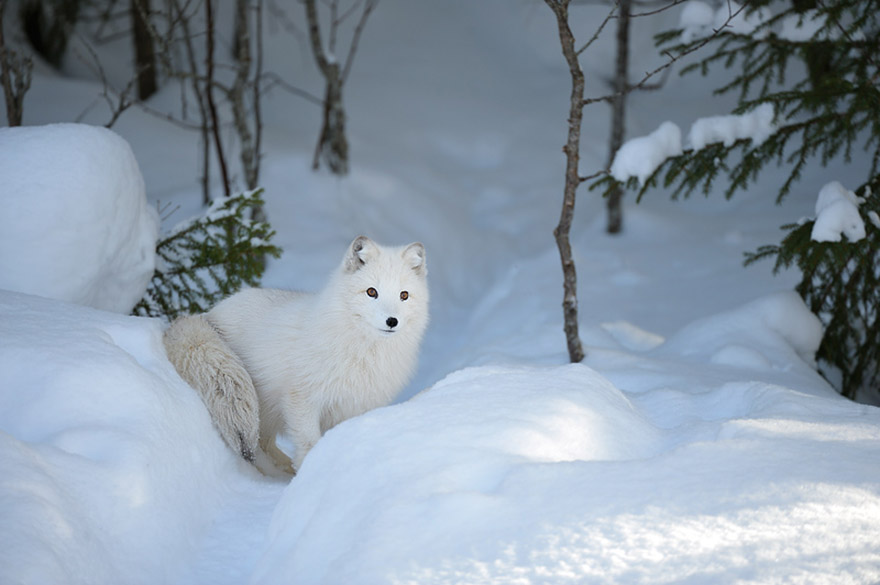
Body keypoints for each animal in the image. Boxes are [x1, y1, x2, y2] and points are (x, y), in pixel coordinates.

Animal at [165, 234, 430, 474]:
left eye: (404, 295)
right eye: (372, 292)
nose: (392, 321)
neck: (363, 352)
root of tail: (207, 315)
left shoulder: (356, 408)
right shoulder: (302, 400)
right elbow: (309, 443)